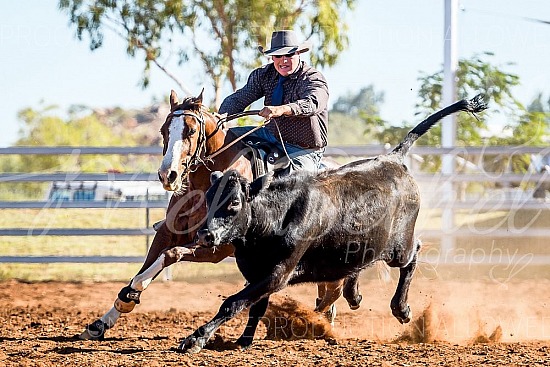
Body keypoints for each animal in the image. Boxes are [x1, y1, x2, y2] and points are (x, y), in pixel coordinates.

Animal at [78, 90, 362, 340]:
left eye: (191, 131)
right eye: (163, 131)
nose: (167, 175)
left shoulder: (217, 249)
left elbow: (169, 256)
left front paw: (132, 292)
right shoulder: (167, 233)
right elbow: (149, 264)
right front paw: (105, 319)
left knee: (332, 291)